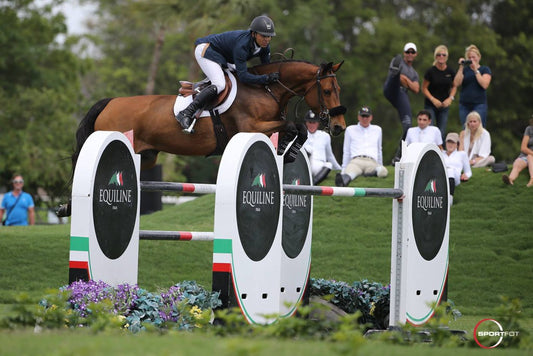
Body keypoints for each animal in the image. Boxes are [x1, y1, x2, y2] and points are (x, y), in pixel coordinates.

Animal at [56, 59, 344, 216]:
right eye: (328, 90)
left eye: (338, 89)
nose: (339, 126)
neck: (264, 89)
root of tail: (110, 102)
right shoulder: (252, 126)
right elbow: (295, 126)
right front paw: (288, 148)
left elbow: (297, 128)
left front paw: (288, 149)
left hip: (146, 156)